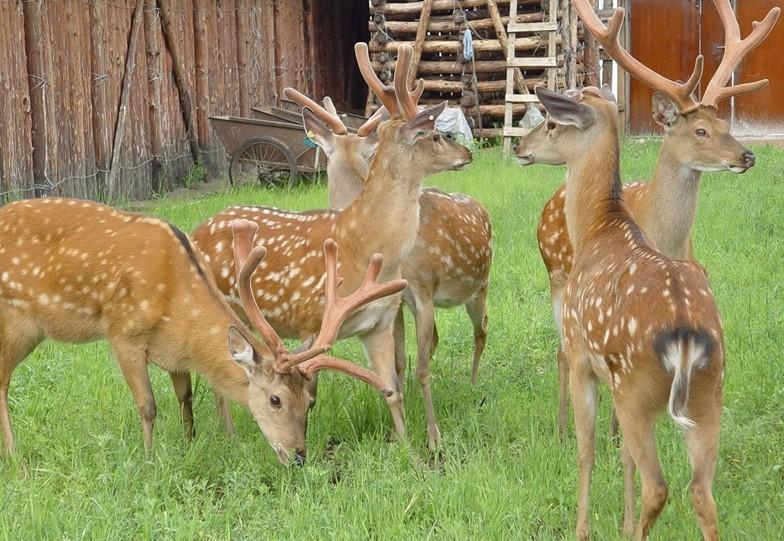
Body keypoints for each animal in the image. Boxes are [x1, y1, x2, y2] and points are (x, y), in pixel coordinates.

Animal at [0, 198, 404, 464]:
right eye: (275, 399)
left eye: (310, 402)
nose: (298, 456)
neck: (176, 303)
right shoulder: (123, 333)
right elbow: (148, 405)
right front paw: (150, 461)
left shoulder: (174, 351)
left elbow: (186, 398)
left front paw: (189, 444)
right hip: (15, 320)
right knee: (2, 381)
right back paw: (16, 458)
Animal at [191, 44, 472, 442]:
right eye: (433, 135)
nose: (467, 154)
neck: (364, 243)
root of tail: (197, 230)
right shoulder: (312, 319)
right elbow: (310, 391)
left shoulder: (380, 322)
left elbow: (393, 389)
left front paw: (406, 445)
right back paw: (229, 436)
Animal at [280, 40, 490, 450]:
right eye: (434, 135)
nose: (468, 153)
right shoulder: (397, 303)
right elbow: (400, 363)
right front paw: (401, 428)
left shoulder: (420, 292)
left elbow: (419, 367)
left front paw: (433, 438)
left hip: (480, 286)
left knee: (481, 329)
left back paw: (475, 385)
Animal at [520, 0, 776, 436]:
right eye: (700, 131)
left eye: (724, 125)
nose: (748, 156)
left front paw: (612, 432)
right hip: (555, 274)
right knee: (561, 352)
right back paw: (560, 425)